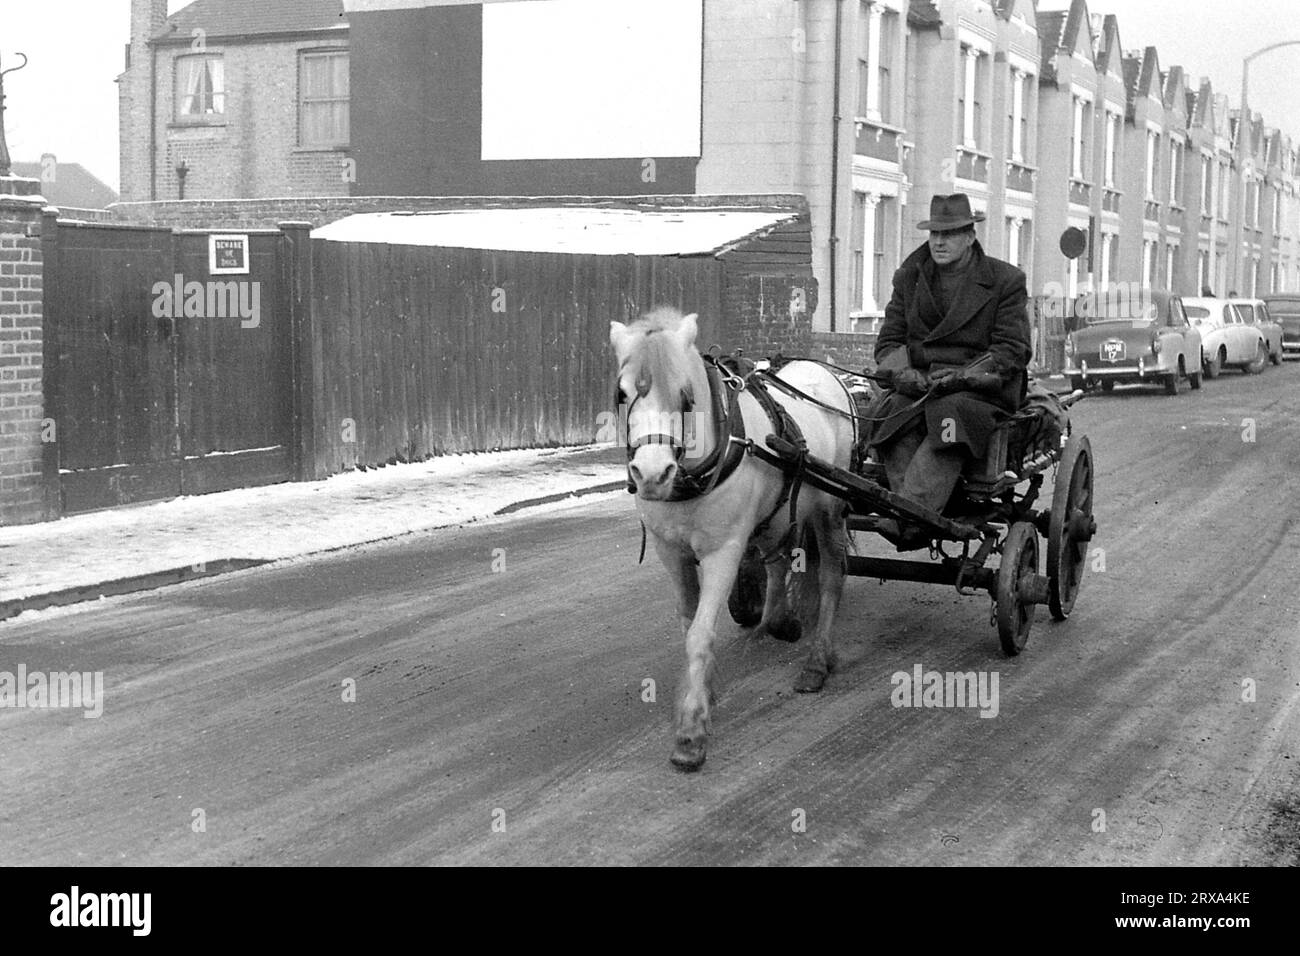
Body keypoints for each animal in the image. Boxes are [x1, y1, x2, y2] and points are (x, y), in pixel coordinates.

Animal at [611, 310, 863, 775]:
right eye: (622, 394)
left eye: (686, 395)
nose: (652, 475)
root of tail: (829, 374)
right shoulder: (671, 553)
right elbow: (689, 623)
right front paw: (704, 691)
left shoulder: (723, 552)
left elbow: (701, 632)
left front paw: (691, 733)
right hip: (776, 513)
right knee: (777, 560)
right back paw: (775, 622)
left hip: (829, 508)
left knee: (831, 577)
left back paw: (818, 660)